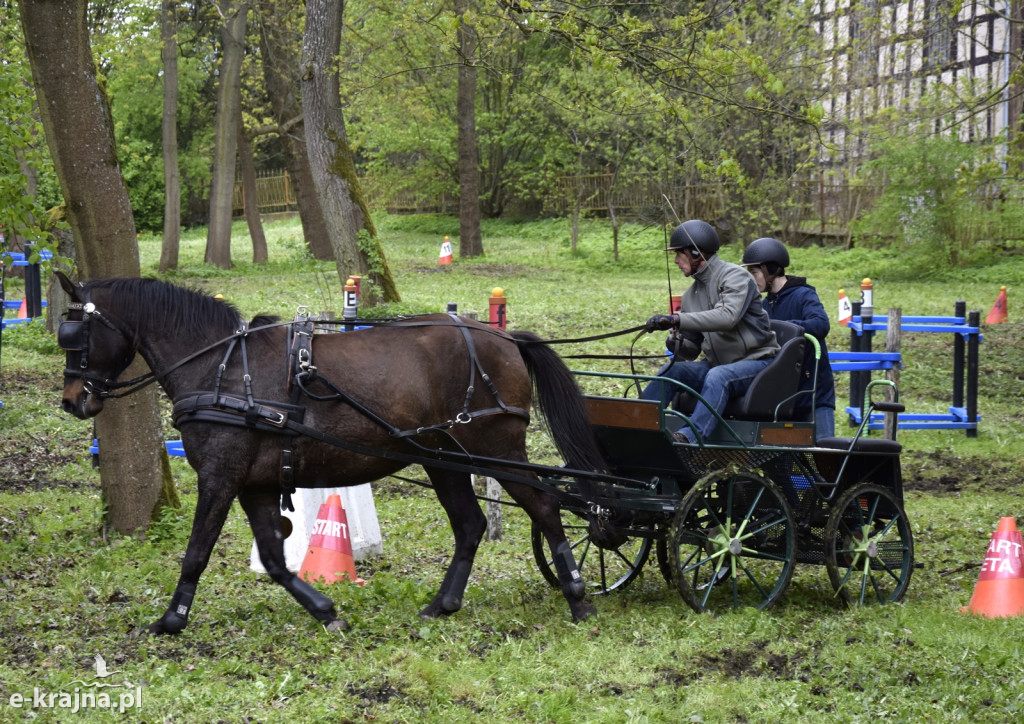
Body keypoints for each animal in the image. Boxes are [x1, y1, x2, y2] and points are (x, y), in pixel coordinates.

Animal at [56, 274, 602, 639]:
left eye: (74, 335)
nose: (73, 401)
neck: (221, 369)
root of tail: (504, 336)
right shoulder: (254, 483)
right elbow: (274, 559)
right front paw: (324, 610)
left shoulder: (220, 475)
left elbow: (196, 552)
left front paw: (172, 619)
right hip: (442, 458)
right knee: (470, 525)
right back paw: (442, 605)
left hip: (497, 450)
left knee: (544, 507)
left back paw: (577, 597)